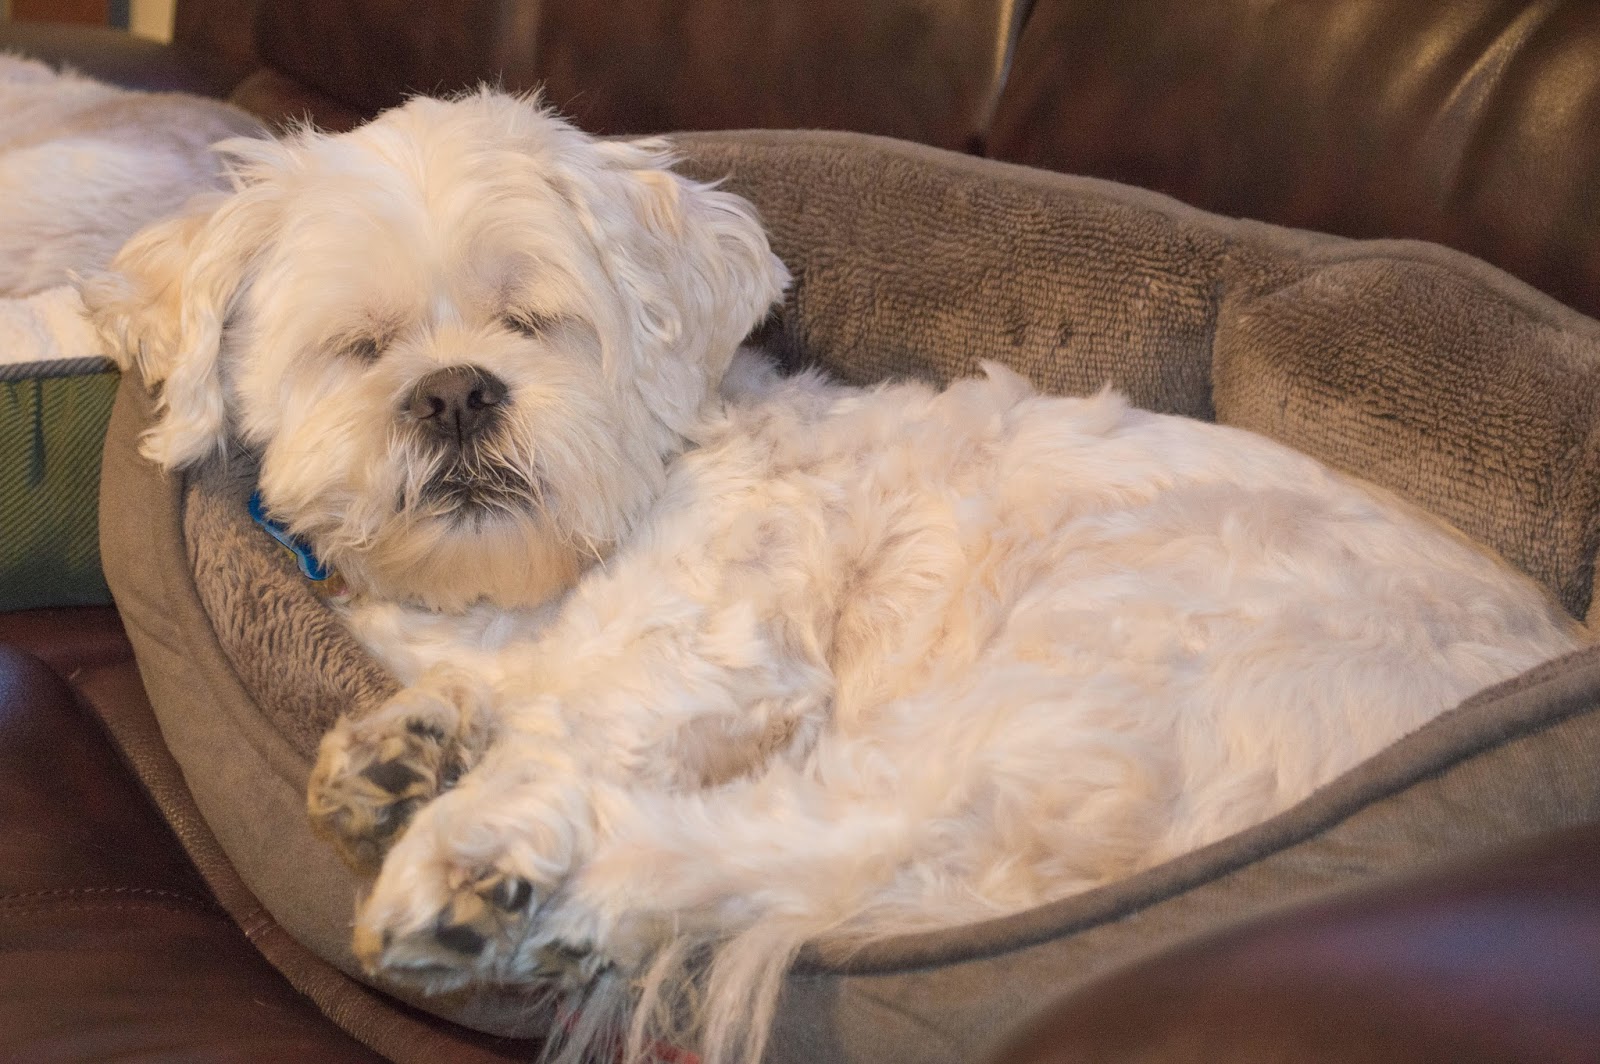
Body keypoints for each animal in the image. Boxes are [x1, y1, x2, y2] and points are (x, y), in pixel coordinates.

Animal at [83, 90, 1583, 1064]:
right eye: (362, 345)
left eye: (531, 321)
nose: (456, 392)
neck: (531, 587)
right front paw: (411, 738)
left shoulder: (726, 649)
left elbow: (596, 715)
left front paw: (476, 786)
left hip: (1094, 656)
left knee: (805, 840)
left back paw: (487, 873)